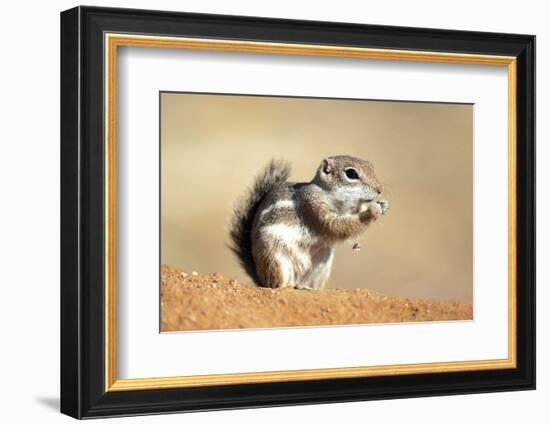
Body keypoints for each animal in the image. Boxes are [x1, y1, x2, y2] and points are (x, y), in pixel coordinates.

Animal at [231, 154, 390, 290]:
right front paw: (372, 210)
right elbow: (338, 226)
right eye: (351, 173)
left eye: (371, 167)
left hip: (321, 267)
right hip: (275, 258)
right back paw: (287, 285)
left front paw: (383, 205)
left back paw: (306, 287)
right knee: (276, 284)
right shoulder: (313, 204)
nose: (380, 190)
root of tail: (260, 278)